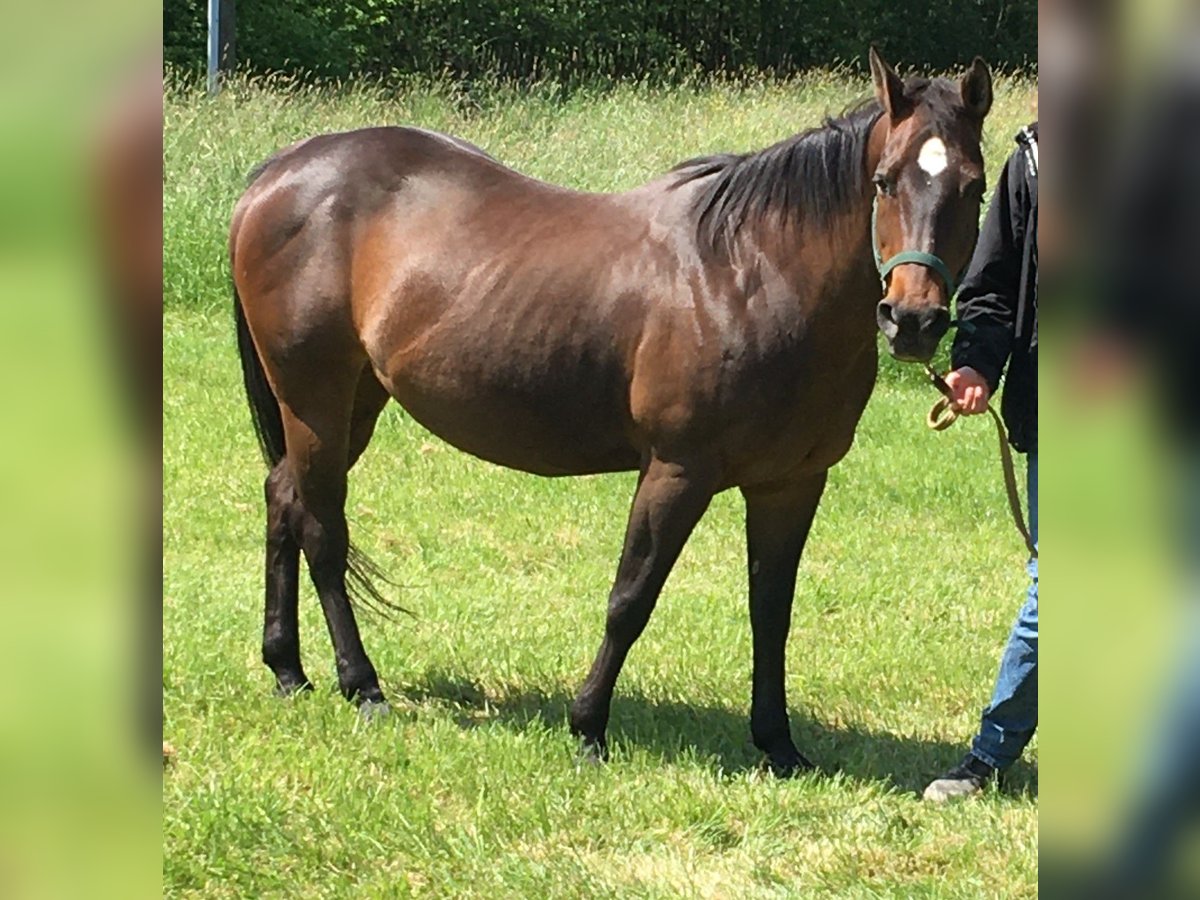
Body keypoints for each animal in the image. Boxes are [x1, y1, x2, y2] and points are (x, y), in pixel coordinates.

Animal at [229, 51, 988, 777]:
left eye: (975, 186)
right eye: (884, 181)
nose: (913, 319)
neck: (751, 273)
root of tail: (277, 176)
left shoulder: (791, 483)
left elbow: (771, 611)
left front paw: (778, 745)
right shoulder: (677, 472)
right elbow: (630, 599)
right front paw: (588, 728)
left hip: (353, 402)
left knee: (283, 498)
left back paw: (288, 670)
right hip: (316, 401)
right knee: (321, 528)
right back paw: (362, 686)